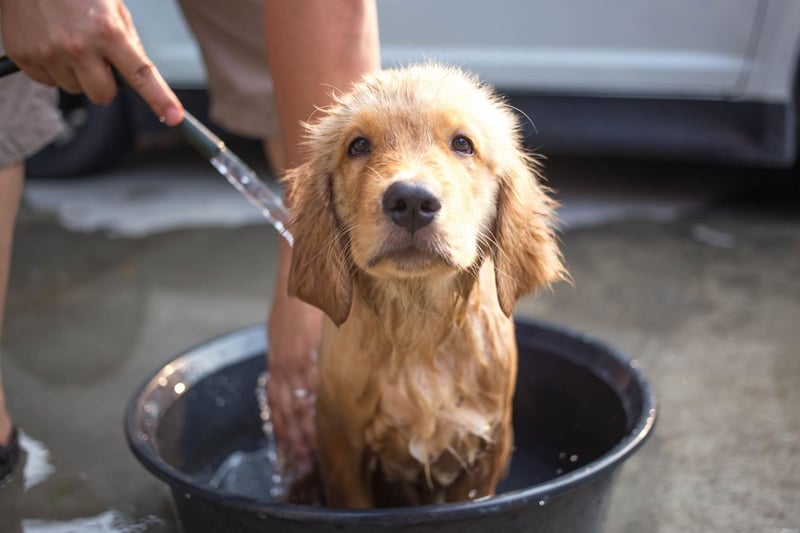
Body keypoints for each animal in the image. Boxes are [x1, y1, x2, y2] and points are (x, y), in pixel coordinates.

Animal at [284, 63, 564, 508]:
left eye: (463, 144)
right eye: (358, 145)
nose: (412, 200)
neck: (418, 326)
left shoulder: (487, 450)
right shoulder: (342, 448)